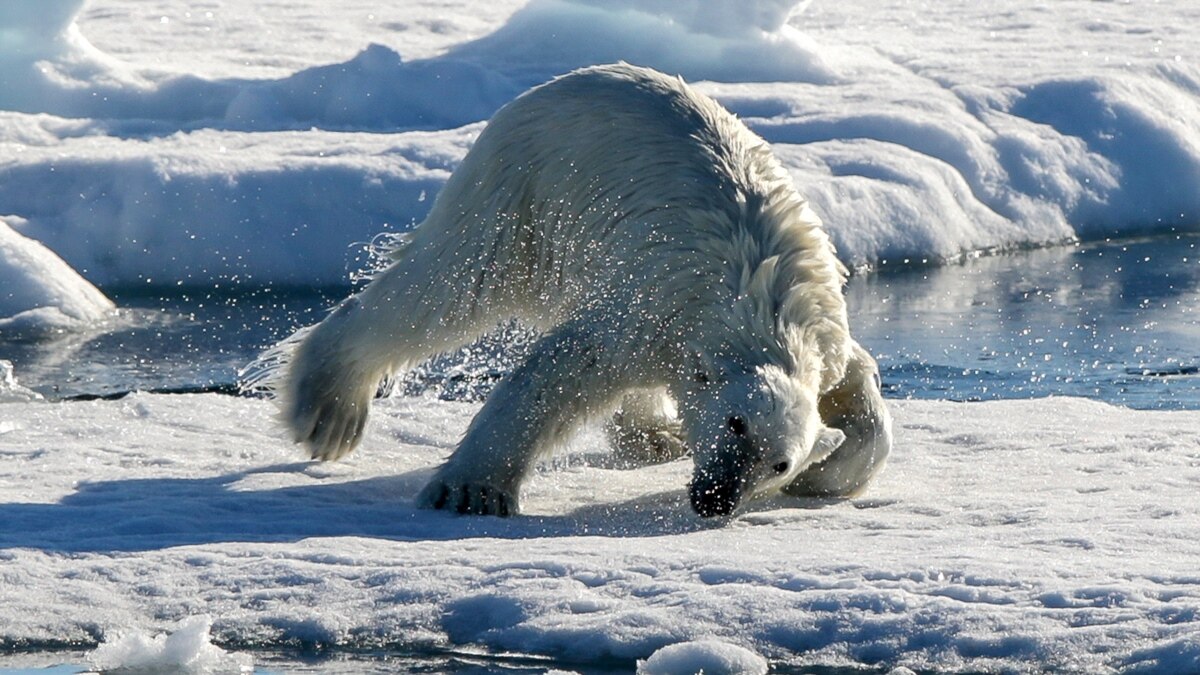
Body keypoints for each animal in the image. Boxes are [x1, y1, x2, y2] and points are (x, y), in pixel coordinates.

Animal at [255, 63, 892, 514]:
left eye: (779, 462)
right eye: (736, 424)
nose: (716, 497)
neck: (764, 313)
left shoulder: (827, 340)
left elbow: (862, 396)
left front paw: (828, 469)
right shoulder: (655, 311)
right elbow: (565, 368)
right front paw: (470, 492)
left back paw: (657, 436)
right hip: (521, 196)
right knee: (447, 291)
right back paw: (327, 412)